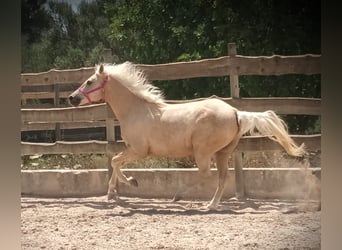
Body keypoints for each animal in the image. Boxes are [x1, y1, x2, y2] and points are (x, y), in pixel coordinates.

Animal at [69, 62, 304, 209]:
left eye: (89, 82)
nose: (72, 98)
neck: (136, 110)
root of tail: (236, 113)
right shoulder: (134, 151)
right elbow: (116, 162)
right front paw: (117, 190)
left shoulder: (138, 151)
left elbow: (115, 162)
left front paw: (128, 185)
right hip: (222, 152)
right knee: (222, 177)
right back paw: (211, 204)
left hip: (203, 151)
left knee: (205, 174)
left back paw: (178, 196)